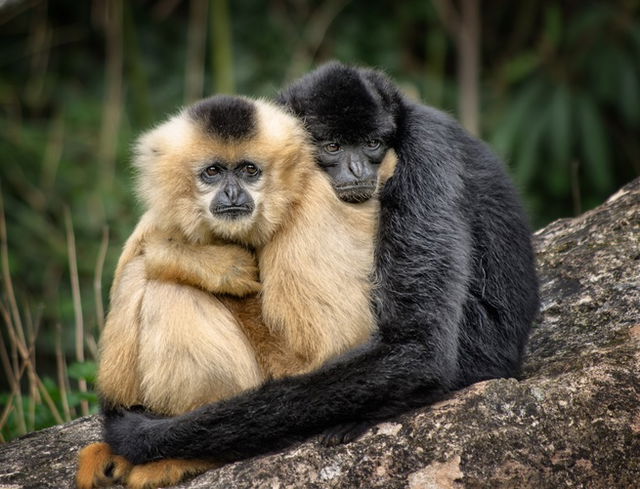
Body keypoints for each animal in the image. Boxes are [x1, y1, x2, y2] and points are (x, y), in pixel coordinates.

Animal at [76, 94, 397, 489]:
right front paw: (213, 262)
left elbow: (326, 350)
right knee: (138, 274)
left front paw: (188, 256)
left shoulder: (313, 209)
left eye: (249, 170)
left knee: (164, 286)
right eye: (213, 172)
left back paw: (184, 456)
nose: (232, 192)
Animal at [101, 62, 539, 467]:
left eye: (372, 143)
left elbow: (419, 349)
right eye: (332, 147)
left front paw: (140, 434)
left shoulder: (427, 153)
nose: (357, 169)